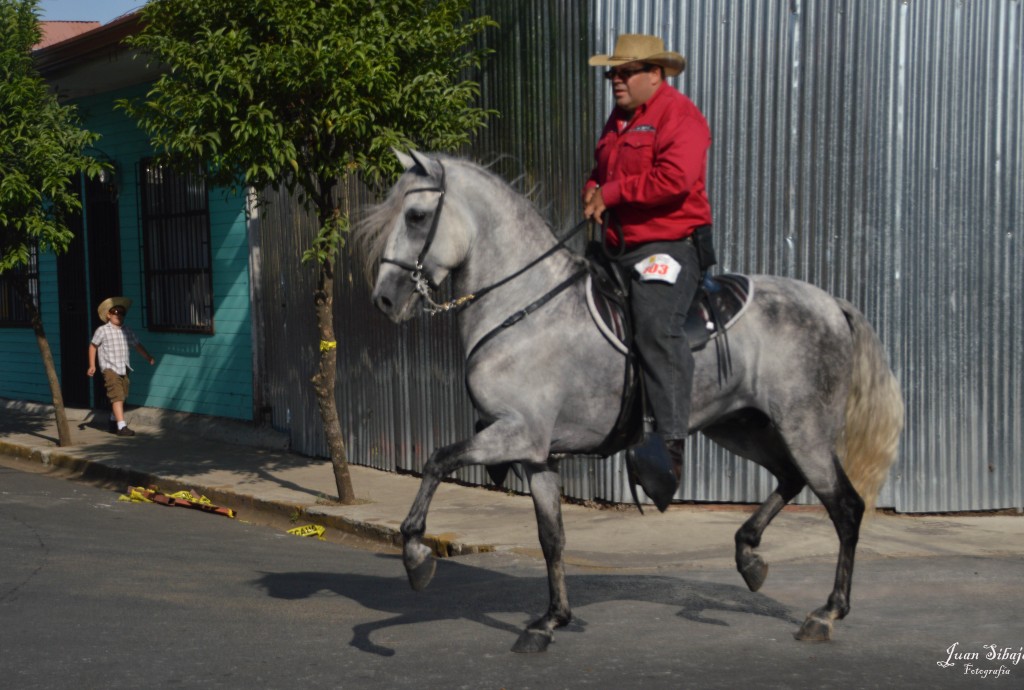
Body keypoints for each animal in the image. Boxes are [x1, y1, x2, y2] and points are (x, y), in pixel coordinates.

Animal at [358, 150, 905, 651]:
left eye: (416, 216)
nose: (384, 299)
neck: (525, 306)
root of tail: (831, 304)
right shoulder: (536, 453)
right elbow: (551, 537)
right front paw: (550, 620)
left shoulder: (515, 432)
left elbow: (436, 460)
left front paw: (416, 555)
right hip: (741, 427)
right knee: (790, 478)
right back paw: (749, 556)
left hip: (804, 428)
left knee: (845, 507)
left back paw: (827, 613)